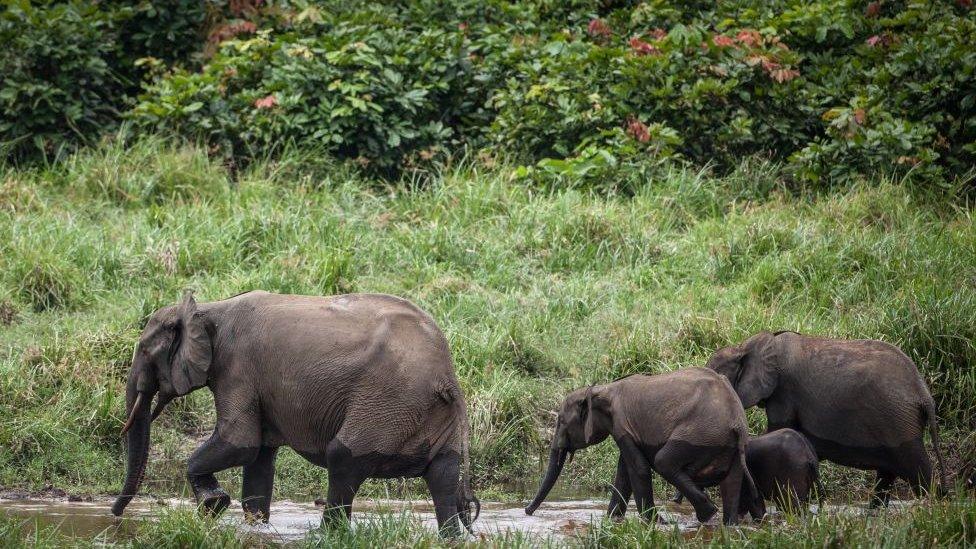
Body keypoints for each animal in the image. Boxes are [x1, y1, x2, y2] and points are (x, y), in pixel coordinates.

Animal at [112, 292, 478, 536]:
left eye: (144, 351)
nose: (115, 514)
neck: (206, 309)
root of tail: (446, 375)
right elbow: (259, 457)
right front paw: (254, 528)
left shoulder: (237, 369)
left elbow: (239, 443)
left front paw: (213, 504)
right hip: (425, 410)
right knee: (443, 473)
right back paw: (452, 538)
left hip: (388, 403)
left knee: (343, 457)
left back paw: (326, 535)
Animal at [524, 366, 760, 524]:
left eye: (561, 422)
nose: (526, 511)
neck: (602, 388)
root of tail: (737, 420)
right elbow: (623, 474)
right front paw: (612, 520)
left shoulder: (621, 424)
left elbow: (638, 469)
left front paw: (655, 523)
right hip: (728, 443)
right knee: (732, 482)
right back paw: (728, 525)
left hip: (701, 433)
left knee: (664, 462)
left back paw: (707, 514)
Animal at [708, 330, 944, 506]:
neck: (744, 346)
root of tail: (924, 394)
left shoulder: (784, 392)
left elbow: (778, 428)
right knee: (887, 476)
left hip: (899, 423)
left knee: (919, 472)